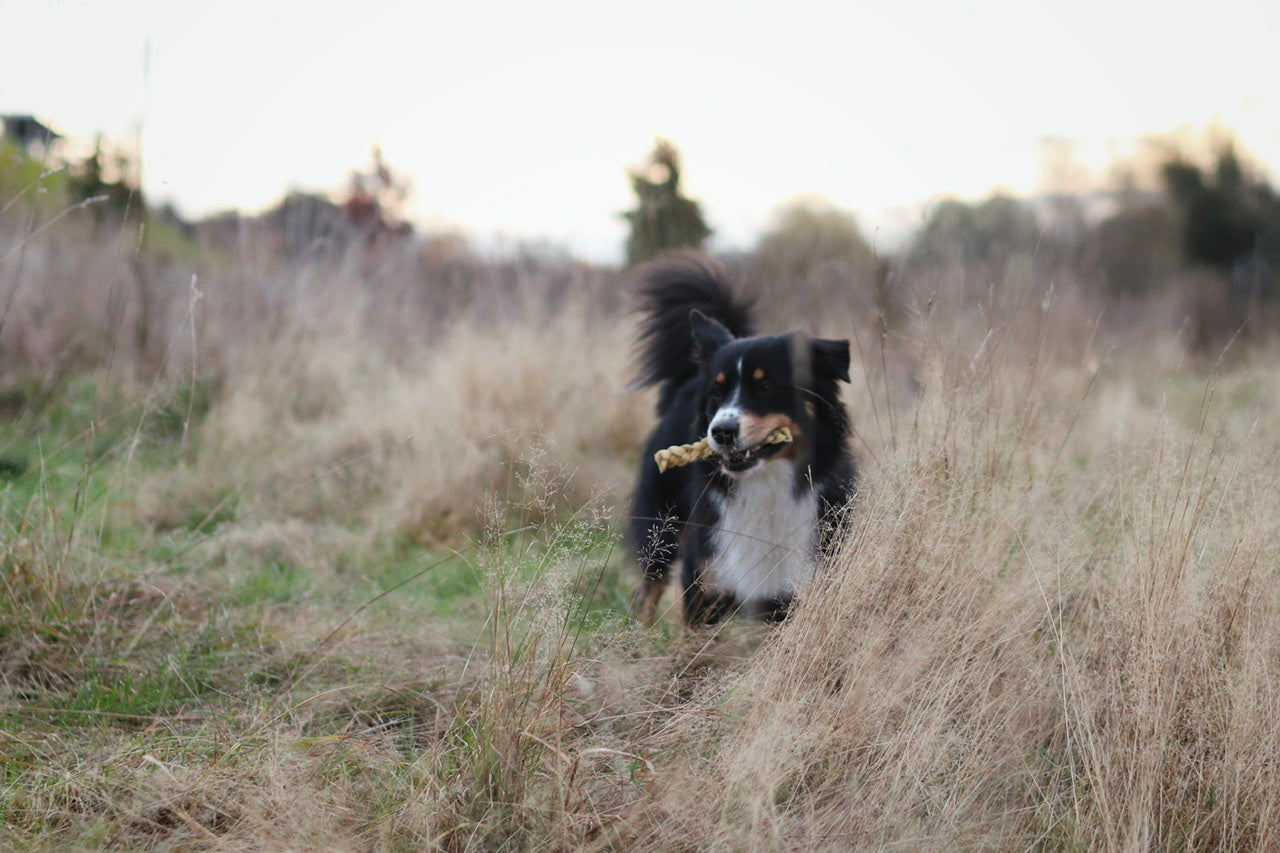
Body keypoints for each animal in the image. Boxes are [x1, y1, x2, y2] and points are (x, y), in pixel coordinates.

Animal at [629, 249, 860, 622]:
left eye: (766, 386)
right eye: (716, 392)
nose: (721, 432)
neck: (765, 486)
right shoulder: (706, 579)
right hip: (662, 529)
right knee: (649, 590)